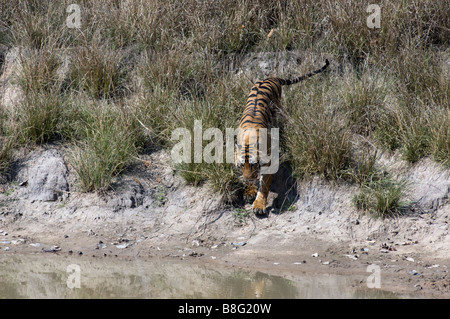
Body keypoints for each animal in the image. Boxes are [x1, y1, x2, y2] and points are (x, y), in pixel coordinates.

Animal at [237, 58, 328, 216]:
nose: (248, 178)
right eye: (242, 164)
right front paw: (250, 190)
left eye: (254, 164)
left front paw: (259, 205)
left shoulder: (268, 162)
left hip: (279, 108)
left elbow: (264, 185)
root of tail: (270, 78)